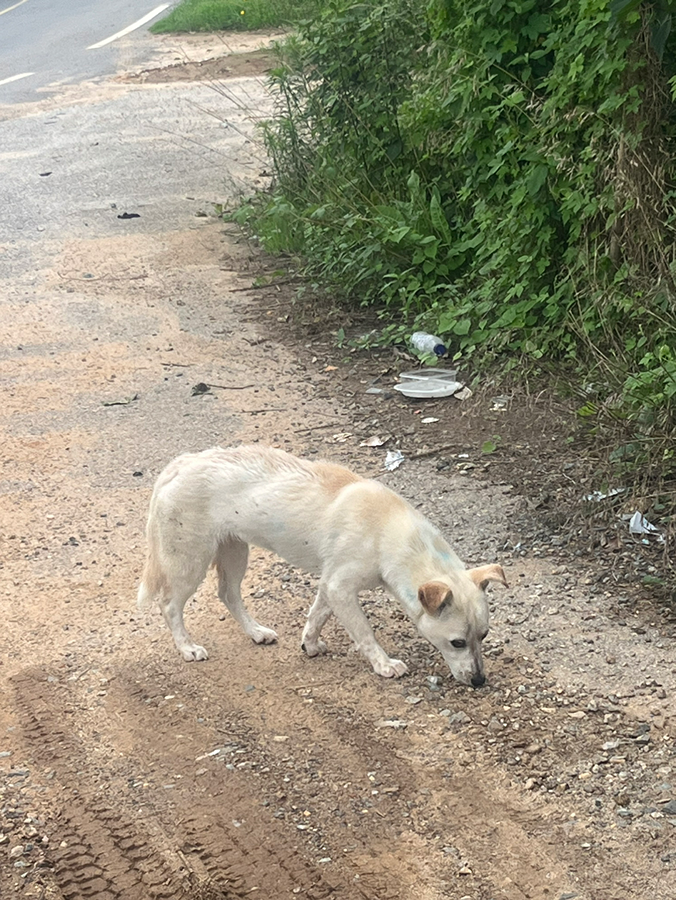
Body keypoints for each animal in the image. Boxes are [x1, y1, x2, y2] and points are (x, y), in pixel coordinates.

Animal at [139, 446, 508, 684]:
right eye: (457, 642)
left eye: (484, 636)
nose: (479, 681)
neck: (391, 534)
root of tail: (180, 463)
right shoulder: (340, 587)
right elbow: (365, 633)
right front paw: (384, 664)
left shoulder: (330, 585)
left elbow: (316, 616)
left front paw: (310, 645)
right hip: (189, 561)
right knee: (169, 605)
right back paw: (187, 647)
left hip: (234, 552)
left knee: (228, 595)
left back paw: (256, 632)